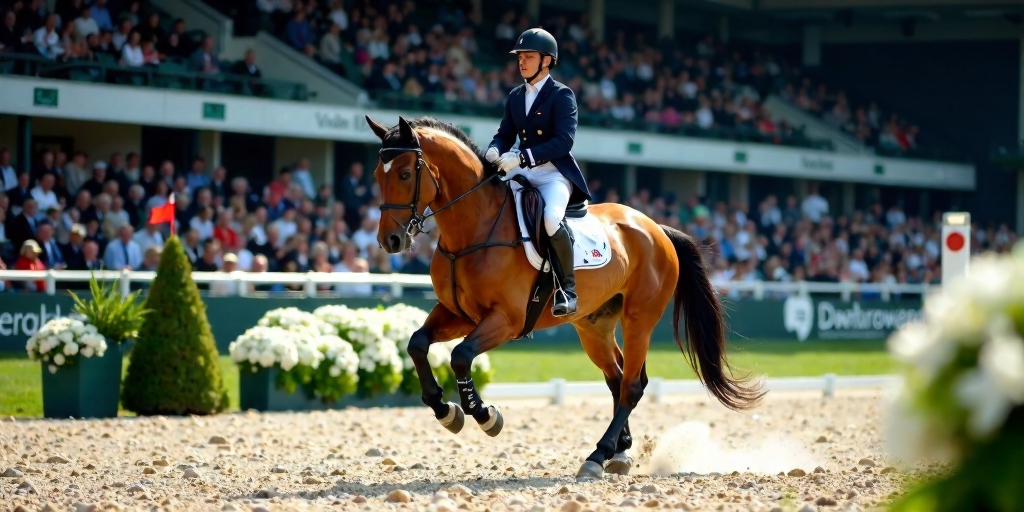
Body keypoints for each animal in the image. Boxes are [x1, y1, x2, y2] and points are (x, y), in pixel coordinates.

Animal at [362, 116, 761, 479]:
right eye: (377, 176)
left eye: (404, 175)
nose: (390, 241)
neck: (472, 229)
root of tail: (655, 228)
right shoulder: (457, 313)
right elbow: (417, 344)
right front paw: (445, 410)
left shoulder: (505, 320)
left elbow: (460, 356)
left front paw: (484, 415)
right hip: (593, 326)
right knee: (617, 378)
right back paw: (620, 452)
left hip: (639, 318)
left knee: (631, 385)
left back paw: (598, 456)